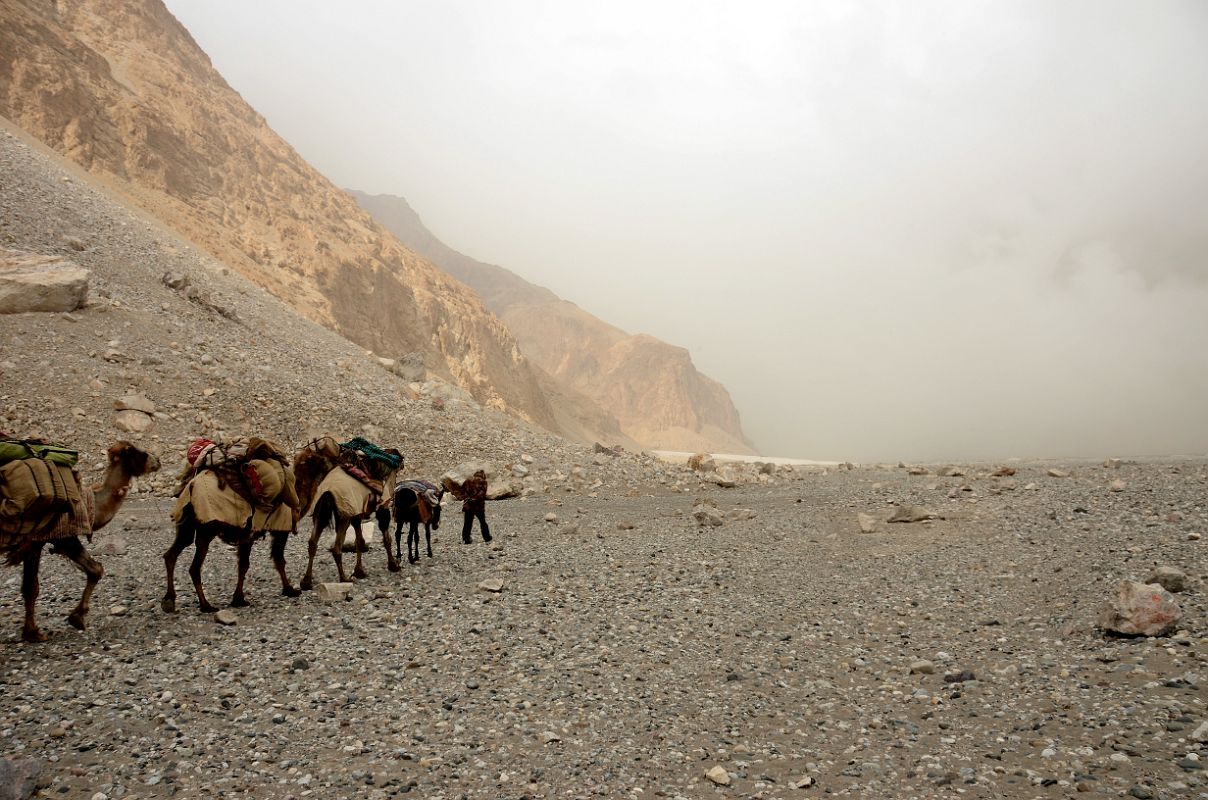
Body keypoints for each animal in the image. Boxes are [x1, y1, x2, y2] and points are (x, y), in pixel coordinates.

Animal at [0, 442, 160, 642]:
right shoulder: (60, 536)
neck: (88, 503)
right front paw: (71, 619)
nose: (157, 461)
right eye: (135, 451)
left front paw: (33, 631)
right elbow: (95, 569)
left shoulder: (37, 540)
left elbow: (30, 587)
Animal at [163, 439, 302, 613]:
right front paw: (290, 590)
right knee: (194, 567)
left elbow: (243, 565)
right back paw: (206, 605)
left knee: (171, 554)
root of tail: (191, 487)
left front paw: (238, 599)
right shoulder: (280, 528)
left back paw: (169, 600)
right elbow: (278, 559)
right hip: (206, 528)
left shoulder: (247, 534)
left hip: (185, 525)